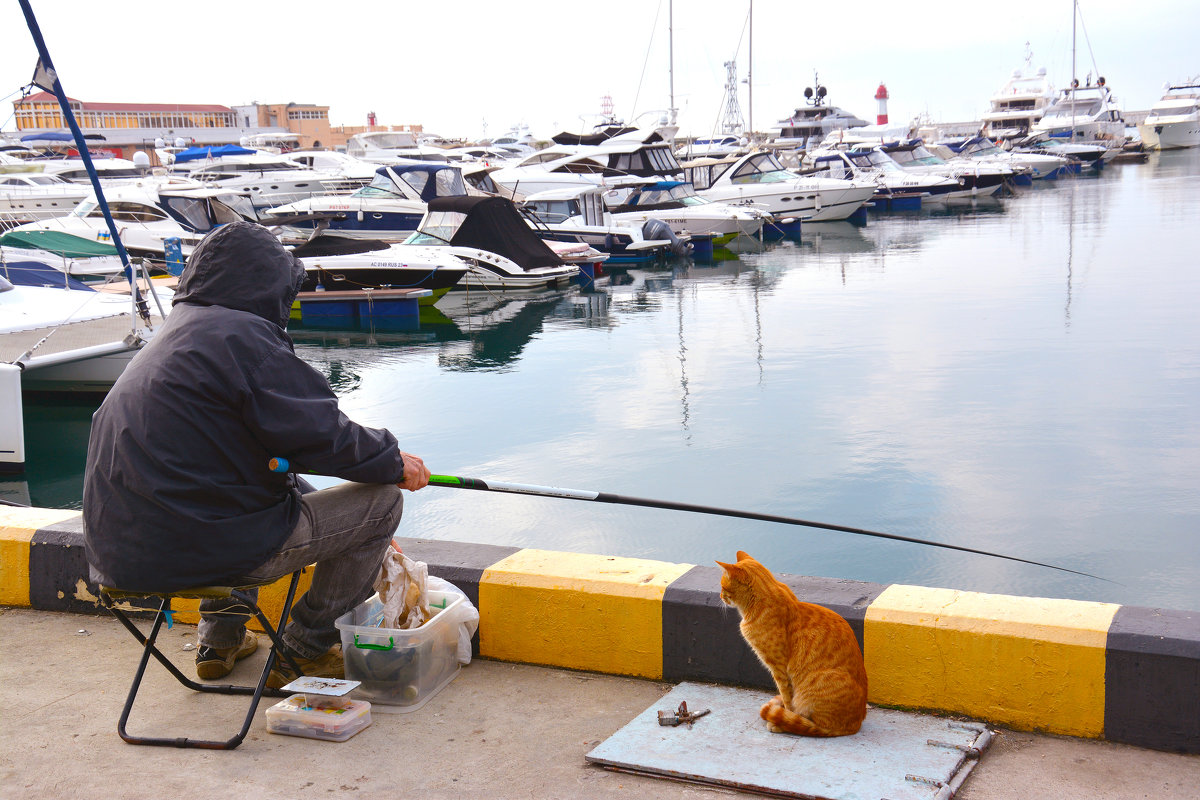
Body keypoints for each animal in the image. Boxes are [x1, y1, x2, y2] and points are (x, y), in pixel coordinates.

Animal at [715, 551, 868, 738]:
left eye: (723, 587)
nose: (720, 596)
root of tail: (856, 724)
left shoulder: (779, 669)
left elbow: (787, 699)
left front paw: (783, 716)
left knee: (812, 726)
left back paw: (783, 724)